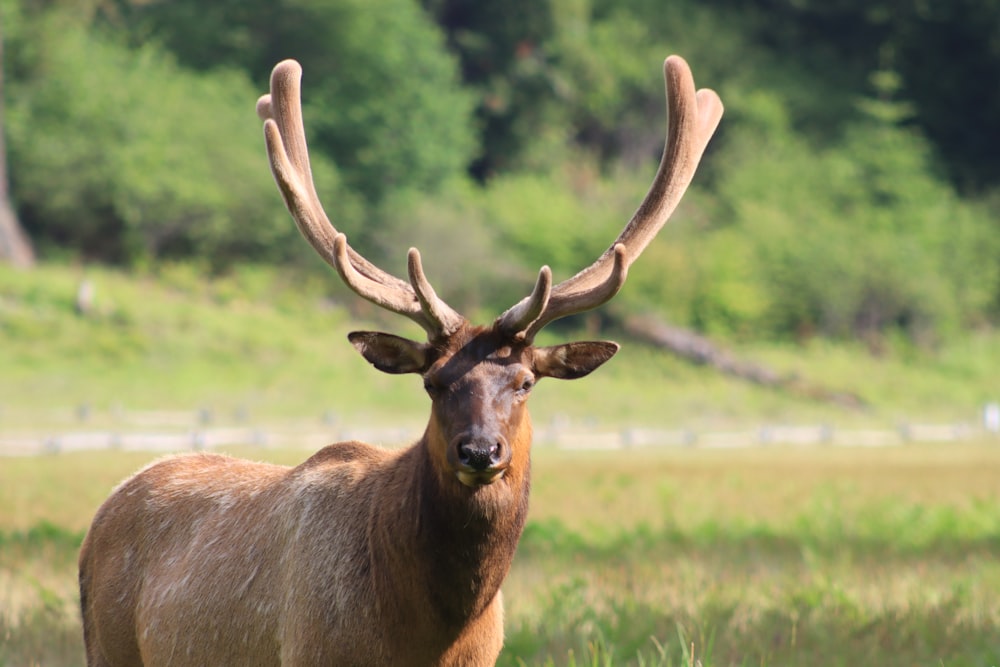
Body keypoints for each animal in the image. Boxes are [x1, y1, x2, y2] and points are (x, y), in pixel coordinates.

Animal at [78, 56, 720, 667]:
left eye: (525, 381)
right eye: (433, 382)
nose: (479, 451)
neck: (428, 634)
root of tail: (104, 510)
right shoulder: (311, 653)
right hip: (107, 647)